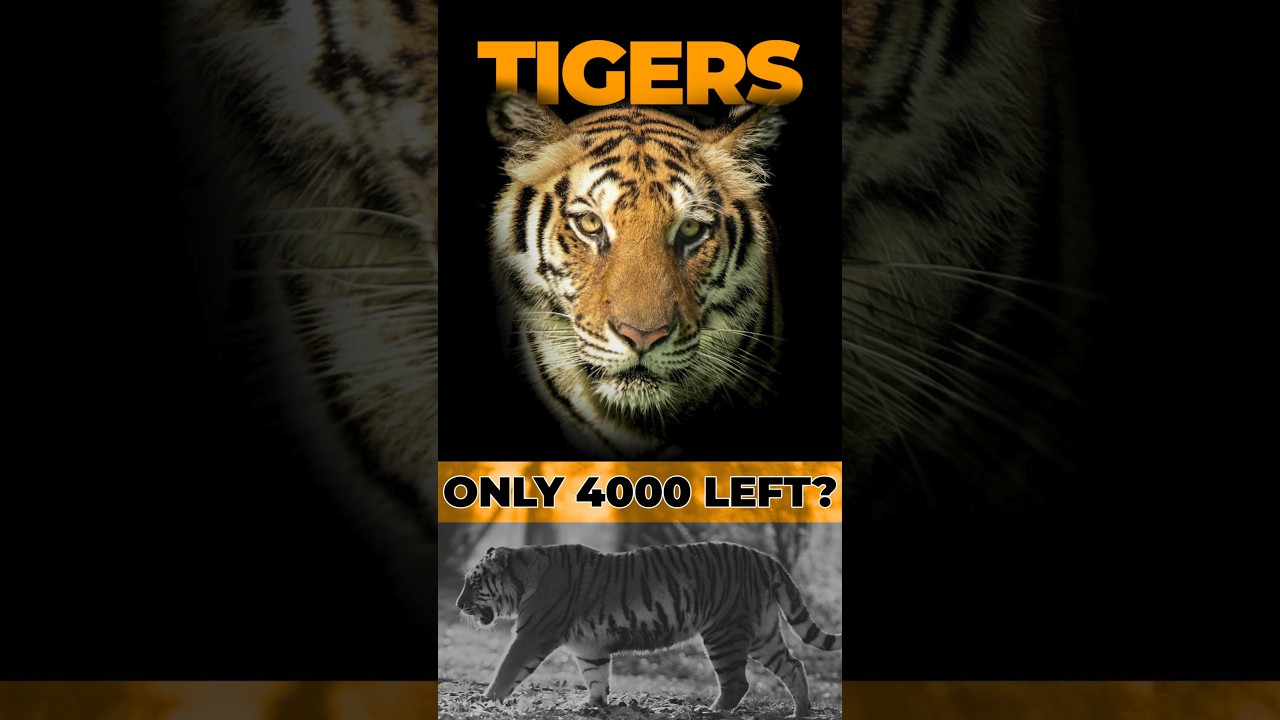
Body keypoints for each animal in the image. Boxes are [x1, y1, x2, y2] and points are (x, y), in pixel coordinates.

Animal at [456, 542, 841, 717]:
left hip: (724, 632)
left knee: (737, 682)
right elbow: (596, 676)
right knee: (794, 665)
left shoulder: (532, 634)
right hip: (762, 633)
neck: (525, 577)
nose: (458, 606)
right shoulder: (589, 647)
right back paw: (801, 711)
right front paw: (592, 704)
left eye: (473, 584)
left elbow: (506, 669)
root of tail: (764, 557)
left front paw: (484, 700)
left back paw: (711, 711)